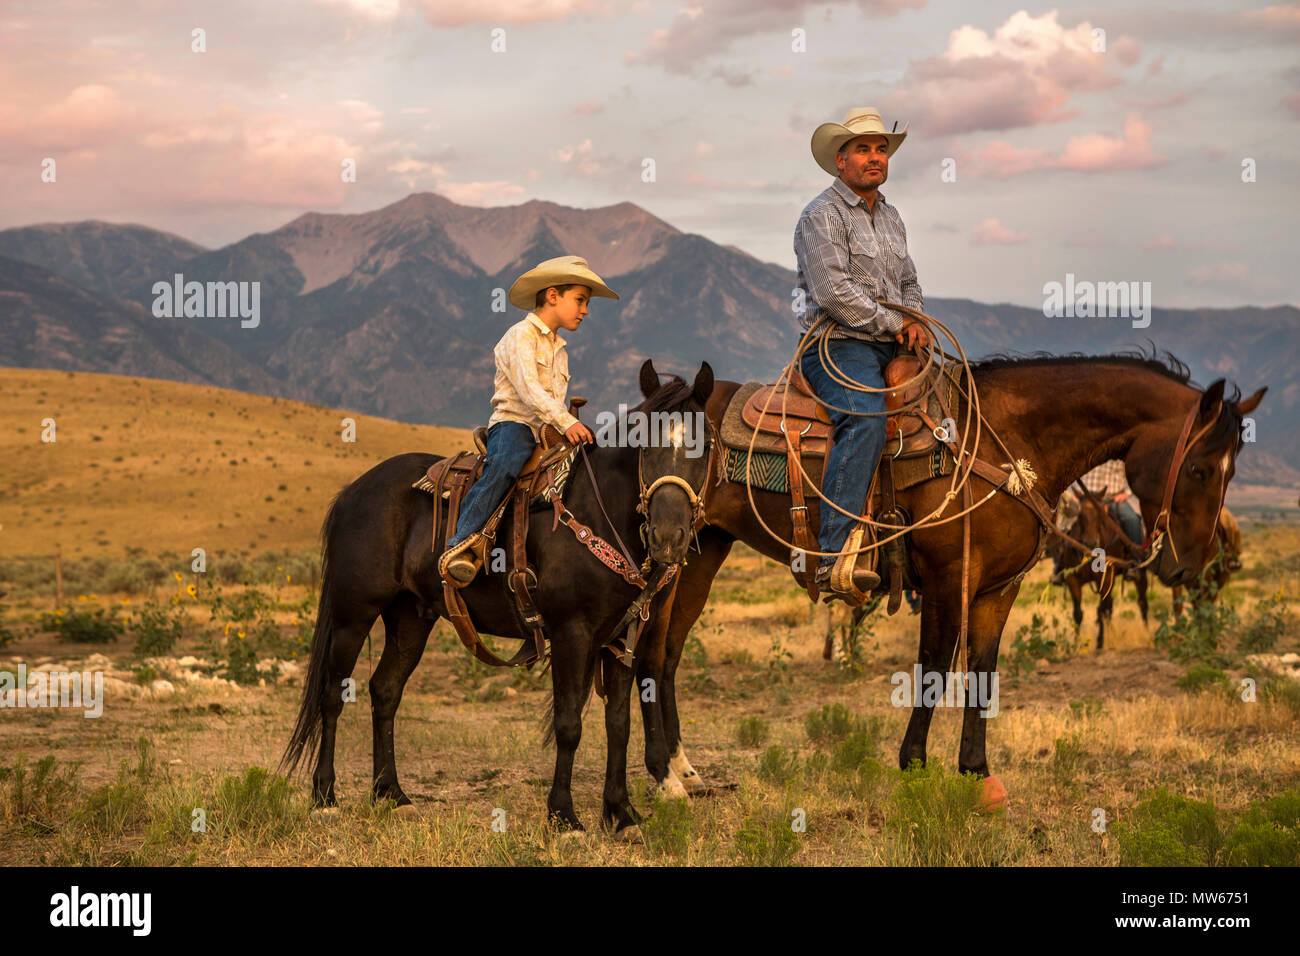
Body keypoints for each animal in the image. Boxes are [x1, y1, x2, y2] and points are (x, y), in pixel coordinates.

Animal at [278, 361, 717, 837]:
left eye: (705, 446)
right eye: (644, 445)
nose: (668, 537)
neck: (597, 513)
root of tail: (353, 491)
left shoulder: (620, 638)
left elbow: (618, 723)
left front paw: (621, 814)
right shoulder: (571, 632)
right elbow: (568, 724)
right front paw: (564, 816)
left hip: (410, 616)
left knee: (385, 690)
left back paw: (393, 795)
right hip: (352, 614)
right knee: (332, 693)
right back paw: (325, 797)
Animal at [634, 356, 1263, 796]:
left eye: (1232, 472)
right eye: (1200, 468)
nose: (1188, 564)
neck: (1005, 444)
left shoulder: (997, 588)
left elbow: (982, 671)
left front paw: (976, 774)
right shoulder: (945, 578)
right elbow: (935, 669)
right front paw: (913, 767)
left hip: (703, 552)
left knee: (669, 656)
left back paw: (686, 770)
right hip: (668, 559)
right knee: (647, 655)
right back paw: (663, 778)